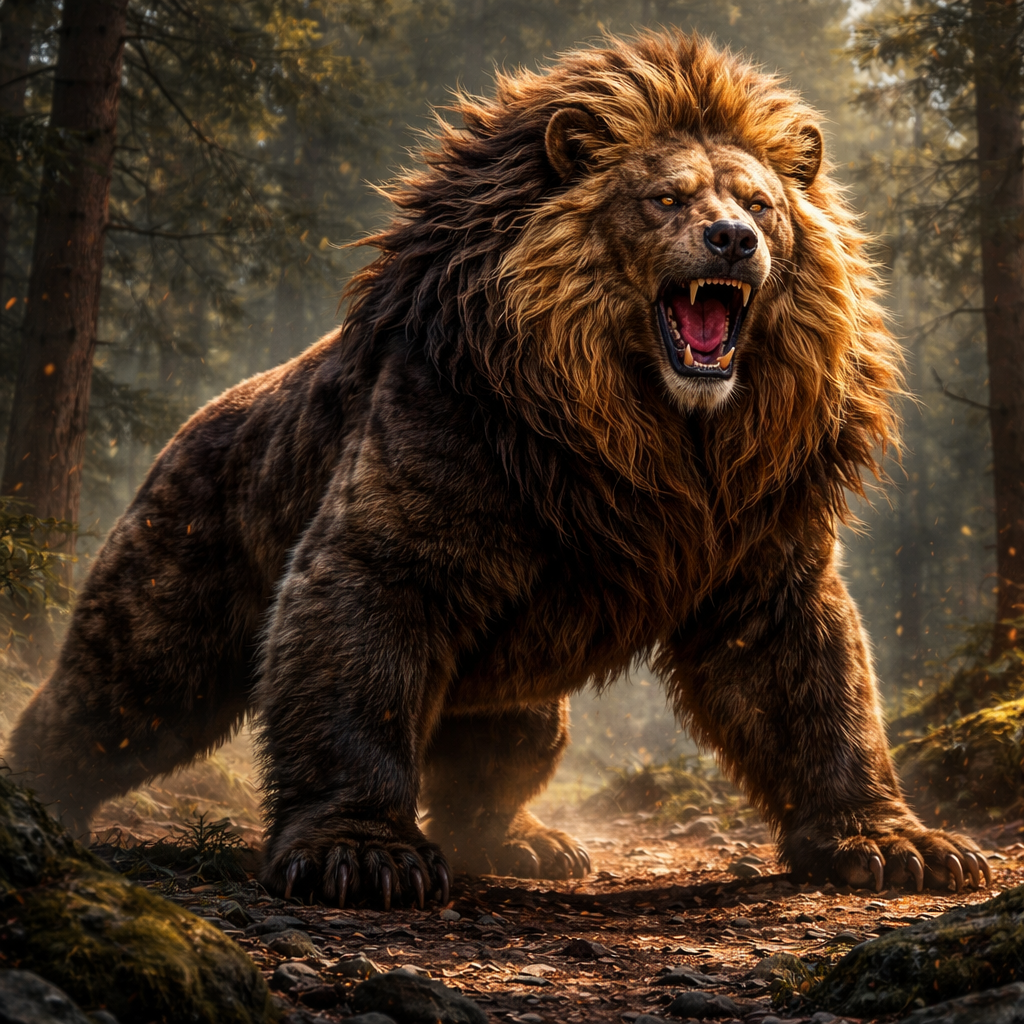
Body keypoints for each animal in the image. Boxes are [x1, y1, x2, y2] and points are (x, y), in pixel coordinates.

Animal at [9, 31, 990, 908]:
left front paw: (900, 845)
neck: (655, 430)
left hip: (523, 692)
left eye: (760, 201)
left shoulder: (760, 538)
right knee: (109, 698)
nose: (732, 240)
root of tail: (192, 420)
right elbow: (357, 670)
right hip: (178, 583)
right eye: (666, 198)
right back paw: (35, 798)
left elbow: (817, 690)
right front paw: (361, 856)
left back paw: (529, 843)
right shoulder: (419, 498)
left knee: (504, 752)